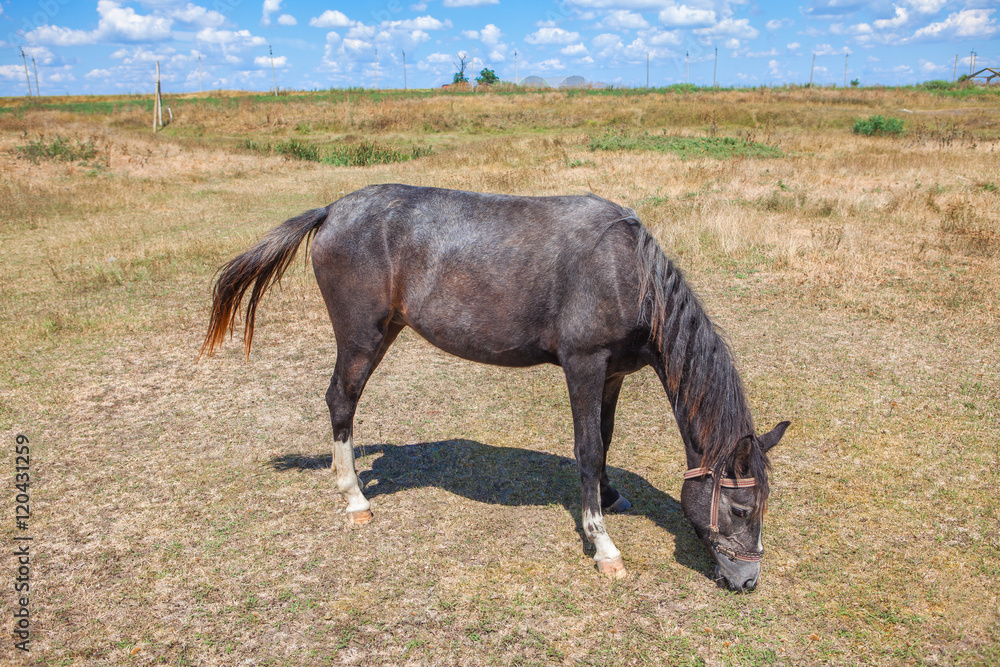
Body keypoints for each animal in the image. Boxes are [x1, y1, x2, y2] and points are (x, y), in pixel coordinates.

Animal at [201, 184, 789, 591]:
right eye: (741, 509)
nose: (747, 581)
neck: (629, 272)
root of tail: (332, 210)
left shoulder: (613, 374)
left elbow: (605, 441)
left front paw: (610, 496)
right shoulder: (584, 366)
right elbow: (588, 449)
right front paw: (603, 545)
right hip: (361, 335)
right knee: (340, 401)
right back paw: (354, 498)